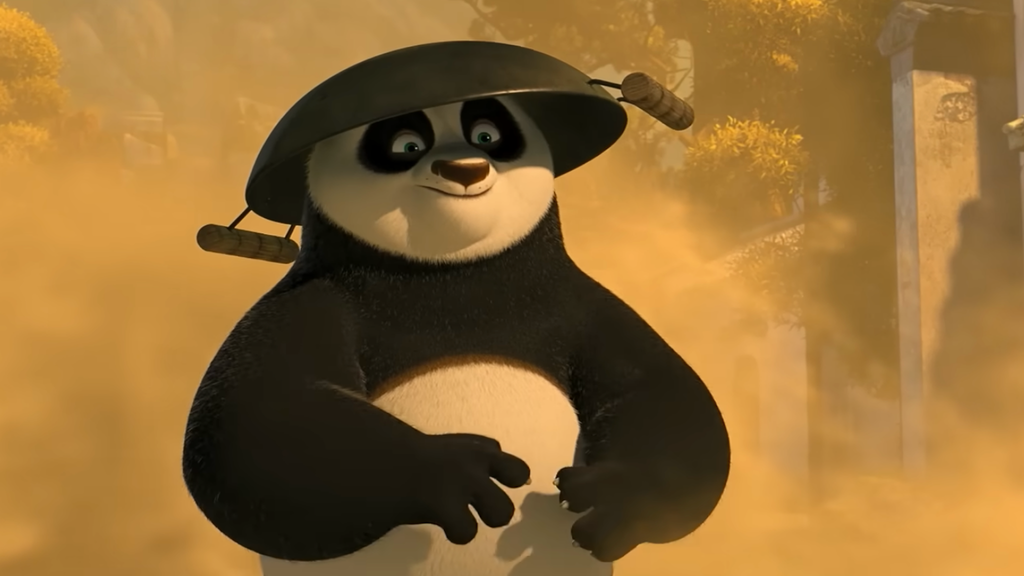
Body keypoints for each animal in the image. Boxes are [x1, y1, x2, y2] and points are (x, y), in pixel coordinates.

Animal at [183, 42, 730, 576]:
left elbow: (662, 395)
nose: (465, 169)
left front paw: (618, 499)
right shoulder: (317, 299)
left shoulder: (576, 303)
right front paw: (453, 472)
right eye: (406, 145)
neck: (451, 270)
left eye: (487, 135)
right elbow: (256, 422)